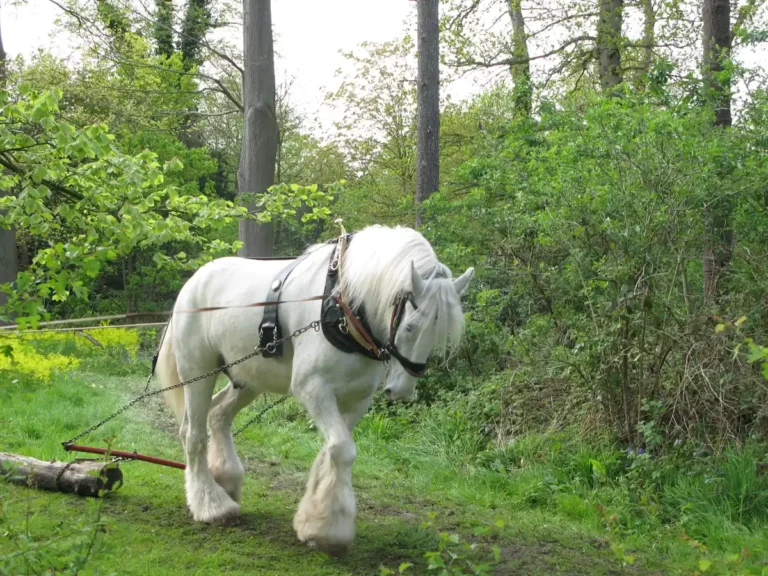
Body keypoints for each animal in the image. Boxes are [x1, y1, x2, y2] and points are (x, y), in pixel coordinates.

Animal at [155, 225, 474, 554]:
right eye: (411, 327)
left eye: (438, 334)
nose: (402, 390)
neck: (343, 304)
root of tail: (193, 282)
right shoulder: (312, 387)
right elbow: (342, 449)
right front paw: (328, 532)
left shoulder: (357, 399)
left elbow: (332, 451)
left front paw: (315, 520)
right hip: (197, 372)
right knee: (193, 434)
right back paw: (211, 504)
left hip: (248, 376)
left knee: (218, 415)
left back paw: (225, 481)